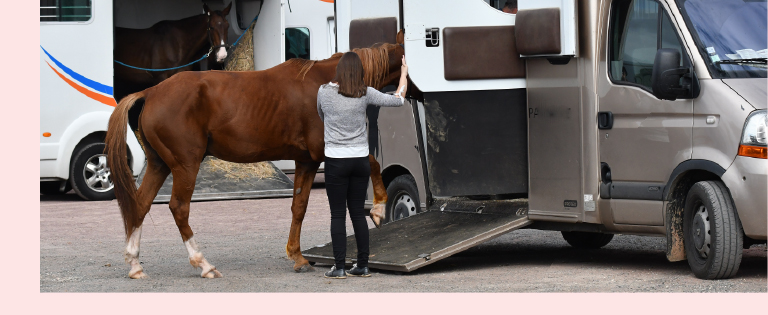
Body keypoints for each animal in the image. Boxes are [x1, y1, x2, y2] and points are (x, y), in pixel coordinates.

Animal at [106, 41, 408, 278]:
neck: (329, 81)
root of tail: (152, 92)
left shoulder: (306, 161)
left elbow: (299, 207)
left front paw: (297, 256)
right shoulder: (324, 151)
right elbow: (372, 162)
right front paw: (378, 208)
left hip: (159, 166)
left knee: (140, 205)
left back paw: (135, 264)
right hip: (184, 166)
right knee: (179, 208)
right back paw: (203, 264)